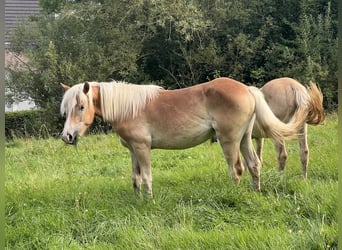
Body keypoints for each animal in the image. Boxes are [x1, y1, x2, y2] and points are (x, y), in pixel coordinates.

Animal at [59, 77, 308, 196]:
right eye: (68, 108)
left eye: (81, 106)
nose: (67, 136)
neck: (129, 107)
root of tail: (247, 89)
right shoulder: (132, 150)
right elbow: (135, 178)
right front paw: (137, 200)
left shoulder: (142, 147)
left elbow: (146, 177)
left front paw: (148, 202)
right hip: (245, 139)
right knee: (254, 165)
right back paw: (255, 192)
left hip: (229, 141)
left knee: (237, 170)